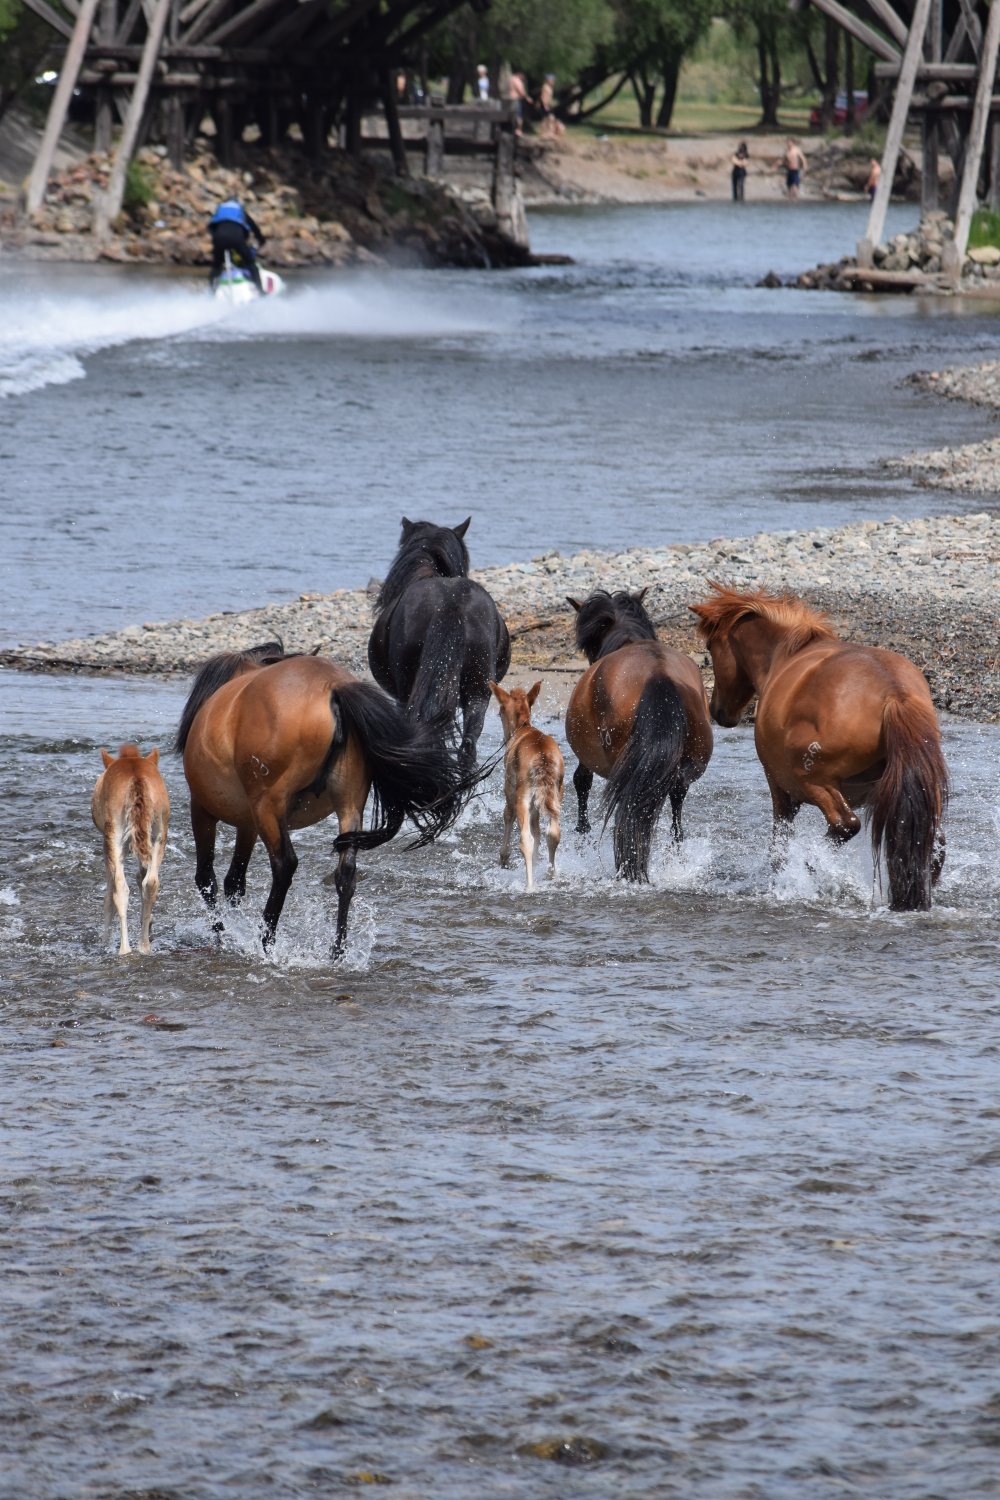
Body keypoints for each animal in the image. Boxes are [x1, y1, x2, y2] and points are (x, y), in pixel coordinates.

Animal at [91, 743, 170, 955]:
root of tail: (137, 778)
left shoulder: (109, 844)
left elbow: (109, 895)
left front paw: (104, 940)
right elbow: (142, 876)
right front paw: (148, 924)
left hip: (115, 837)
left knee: (120, 889)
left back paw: (124, 948)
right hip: (159, 834)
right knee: (151, 883)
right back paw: (144, 946)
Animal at [175, 640, 469, 958]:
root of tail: (333, 688)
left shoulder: (203, 810)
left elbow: (207, 879)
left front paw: (221, 934)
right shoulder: (247, 823)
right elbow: (234, 882)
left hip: (269, 807)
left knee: (284, 866)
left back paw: (267, 941)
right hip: (348, 804)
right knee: (346, 873)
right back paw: (336, 951)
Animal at [489, 679, 565, 890]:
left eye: (500, 711)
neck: (523, 727)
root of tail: (543, 756)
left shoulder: (509, 790)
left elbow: (508, 815)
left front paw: (504, 858)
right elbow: (537, 829)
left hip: (522, 795)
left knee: (525, 839)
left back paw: (529, 886)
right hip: (556, 793)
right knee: (553, 833)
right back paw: (550, 875)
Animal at [564, 589, 714, 881]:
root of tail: (658, 674)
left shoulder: (586, 757)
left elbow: (581, 783)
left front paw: (582, 837)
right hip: (688, 761)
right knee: (676, 795)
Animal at [690, 583, 949, 911]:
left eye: (711, 648)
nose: (718, 712)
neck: (786, 655)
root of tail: (894, 694)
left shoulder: (780, 789)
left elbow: (779, 846)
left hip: (814, 781)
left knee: (844, 825)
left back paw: (812, 865)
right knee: (934, 843)